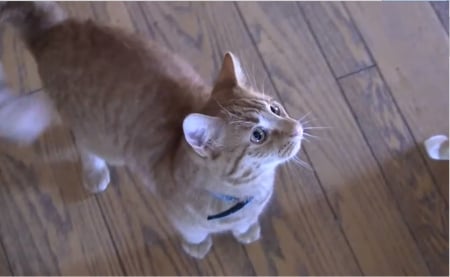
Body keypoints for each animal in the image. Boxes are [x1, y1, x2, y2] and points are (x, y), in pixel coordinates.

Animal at [0, 1, 304, 258]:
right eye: (258, 136)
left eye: (275, 109)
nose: (296, 127)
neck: (248, 193)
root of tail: (54, 30)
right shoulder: (182, 219)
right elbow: (194, 233)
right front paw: (198, 247)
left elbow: (244, 224)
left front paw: (246, 231)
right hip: (102, 140)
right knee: (85, 146)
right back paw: (94, 171)